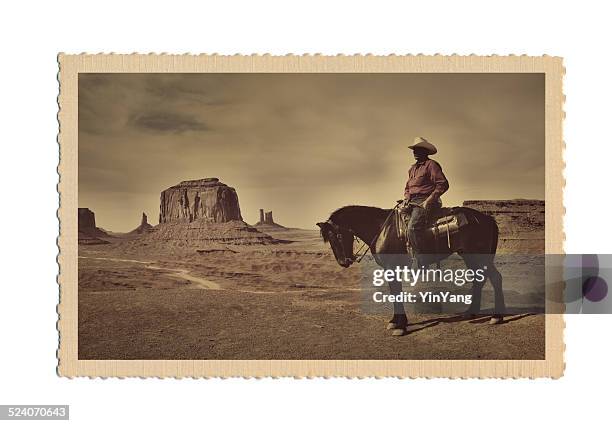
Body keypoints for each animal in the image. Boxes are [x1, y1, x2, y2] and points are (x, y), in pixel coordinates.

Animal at [318, 205, 504, 334]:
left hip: (480, 256)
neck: (381, 229)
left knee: (495, 278)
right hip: (469, 255)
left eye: (339, 235)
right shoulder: (391, 270)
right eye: (329, 240)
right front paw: (396, 321)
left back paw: (497, 317)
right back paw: (470, 313)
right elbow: (395, 293)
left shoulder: (392, 268)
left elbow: (396, 293)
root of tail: (488, 219)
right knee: (479, 280)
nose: (343, 262)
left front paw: (400, 326)